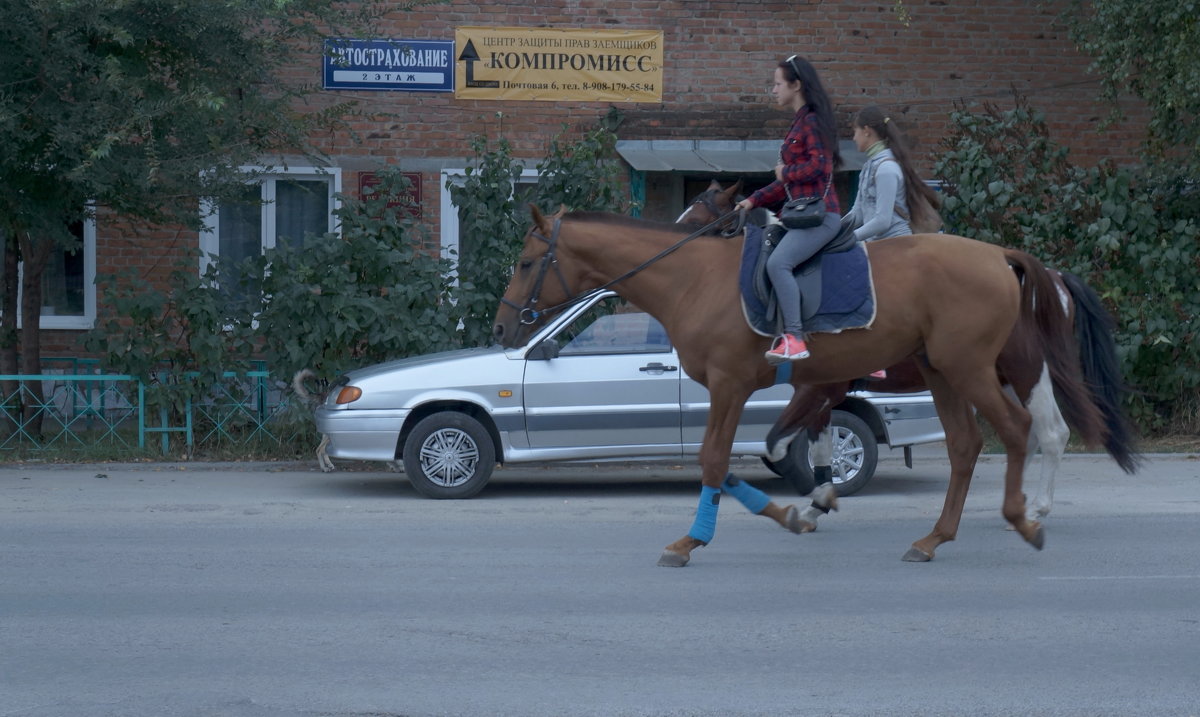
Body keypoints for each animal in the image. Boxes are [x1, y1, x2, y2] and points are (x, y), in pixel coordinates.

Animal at [492, 203, 1118, 568]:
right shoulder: (781, 391)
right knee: (968, 447)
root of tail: (1001, 256)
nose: (500, 328)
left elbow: (716, 460)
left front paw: (692, 541)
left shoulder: (731, 384)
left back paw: (1025, 517)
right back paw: (935, 537)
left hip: (975, 368)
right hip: (945, 371)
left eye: (524, 263)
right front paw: (802, 509)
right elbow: (760, 455)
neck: (694, 279)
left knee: (1024, 430)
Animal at [681, 179, 1137, 529]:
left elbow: (798, 441)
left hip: (1024, 368)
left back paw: (1036, 508)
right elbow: (820, 443)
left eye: (701, 221)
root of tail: (1031, 270)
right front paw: (817, 501)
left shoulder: (823, 387)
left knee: (1050, 431)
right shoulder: (822, 389)